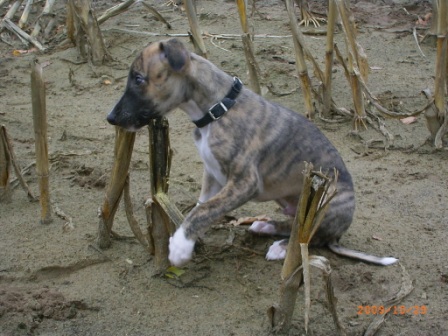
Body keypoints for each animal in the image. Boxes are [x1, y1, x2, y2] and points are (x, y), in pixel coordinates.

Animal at [107, 38, 398, 266]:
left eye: (138, 79)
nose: (111, 118)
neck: (217, 109)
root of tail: (340, 233)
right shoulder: (212, 175)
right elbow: (202, 205)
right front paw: (187, 235)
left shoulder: (244, 183)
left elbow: (203, 210)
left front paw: (180, 245)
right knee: (297, 227)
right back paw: (266, 226)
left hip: (324, 201)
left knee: (313, 239)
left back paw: (281, 248)